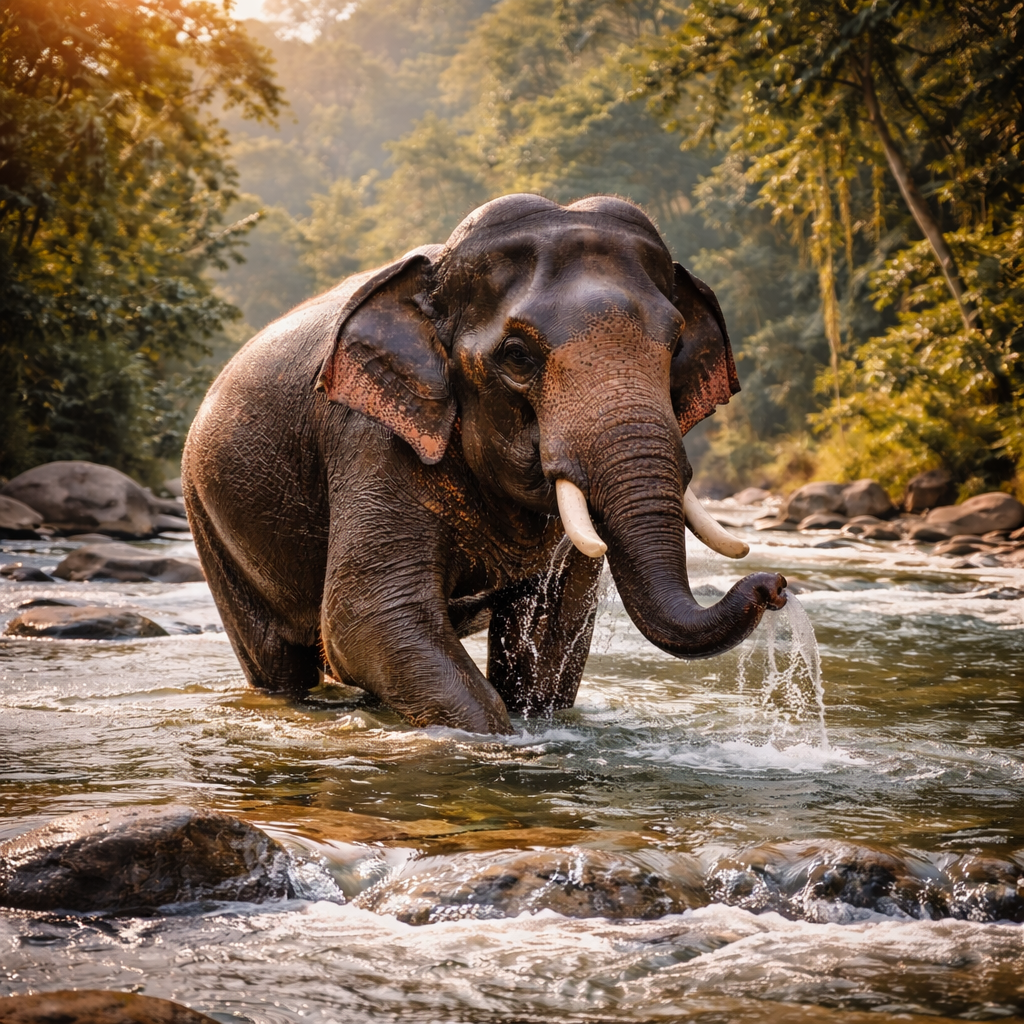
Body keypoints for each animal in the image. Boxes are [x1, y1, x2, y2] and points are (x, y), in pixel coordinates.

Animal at [182, 194, 786, 734]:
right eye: (517, 357)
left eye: (676, 343)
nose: (773, 586)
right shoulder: (370, 437)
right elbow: (367, 617)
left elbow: (549, 628)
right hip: (209, 518)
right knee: (278, 662)